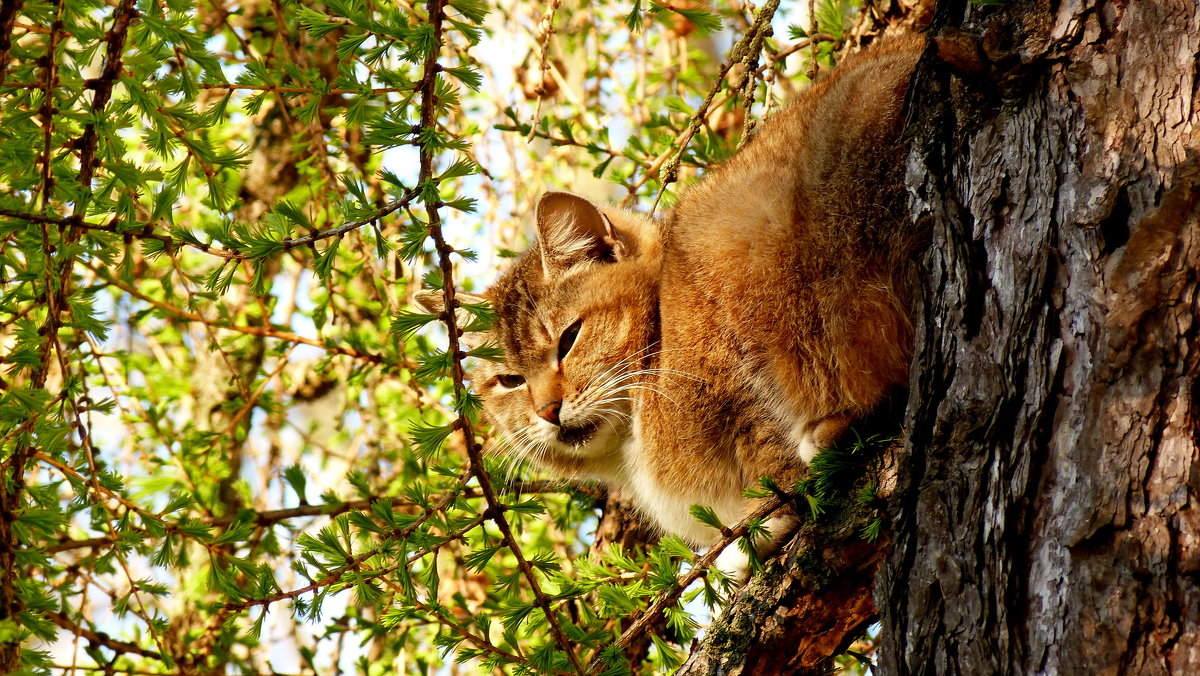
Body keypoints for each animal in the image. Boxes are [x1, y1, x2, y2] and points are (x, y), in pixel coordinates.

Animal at [417, 37, 921, 576]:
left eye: (569, 340)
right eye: (510, 381)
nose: (547, 410)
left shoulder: (732, 329)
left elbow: (767, 438)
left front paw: (766, 518)